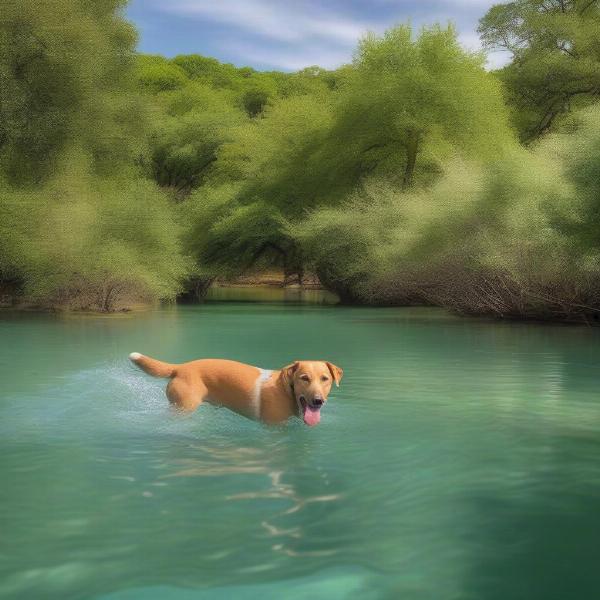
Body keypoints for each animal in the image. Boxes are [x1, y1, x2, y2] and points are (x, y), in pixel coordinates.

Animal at [129, 352, 342, 426]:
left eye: (325, 379)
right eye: (304, 378)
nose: (318, 401)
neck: (286, 390)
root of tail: (180, 367)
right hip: (183, 407)